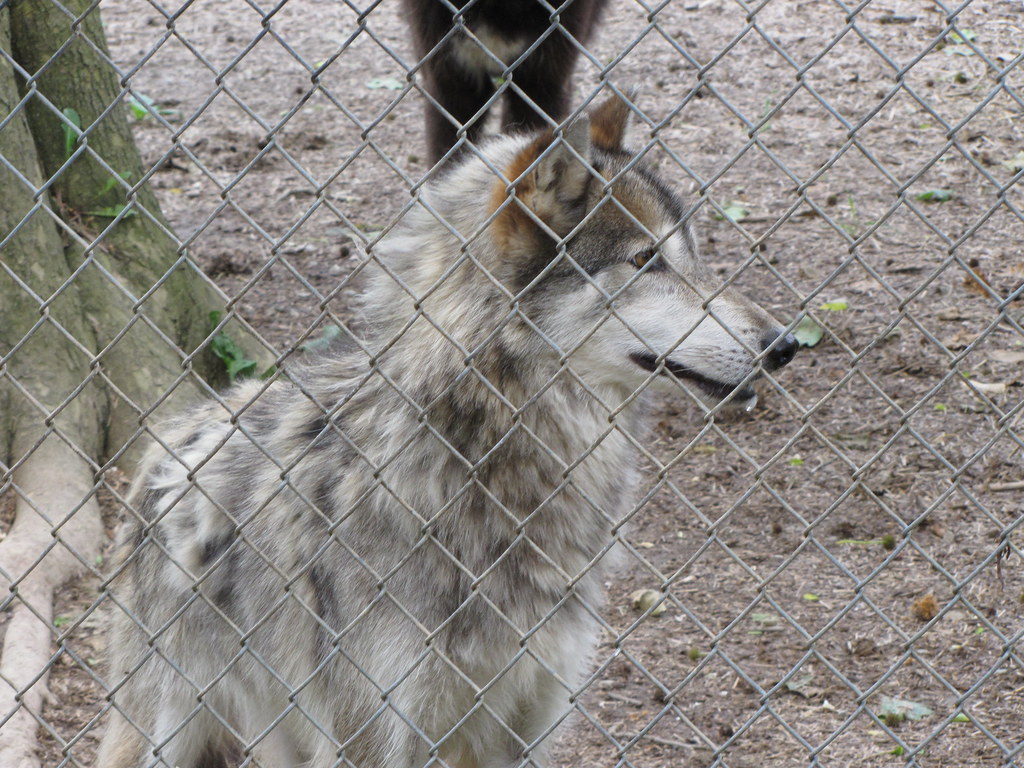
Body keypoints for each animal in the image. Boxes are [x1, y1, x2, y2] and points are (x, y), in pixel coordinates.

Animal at [97, 94, 797, 768]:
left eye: (695, 259)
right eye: (647, 259)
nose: (785, 344)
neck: (481, 461)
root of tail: (171, 436)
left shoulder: (523, 731)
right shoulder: (372, 737)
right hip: (169, 726)